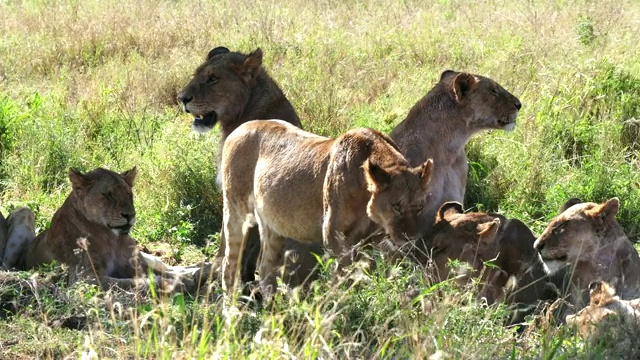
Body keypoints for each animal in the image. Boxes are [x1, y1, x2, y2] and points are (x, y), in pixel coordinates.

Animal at [221, 120, 436, 296]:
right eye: (396, 207)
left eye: (419, 207)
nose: (410, 238)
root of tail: (239, 128)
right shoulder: (332, 233)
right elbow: (344, 272)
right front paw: (345, 302)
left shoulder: (374, 237)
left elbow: (373, 268)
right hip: (236, 211)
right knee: (229, 265)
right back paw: (233, 311)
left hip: (272, 227)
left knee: (265, 269)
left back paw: (272, 309)